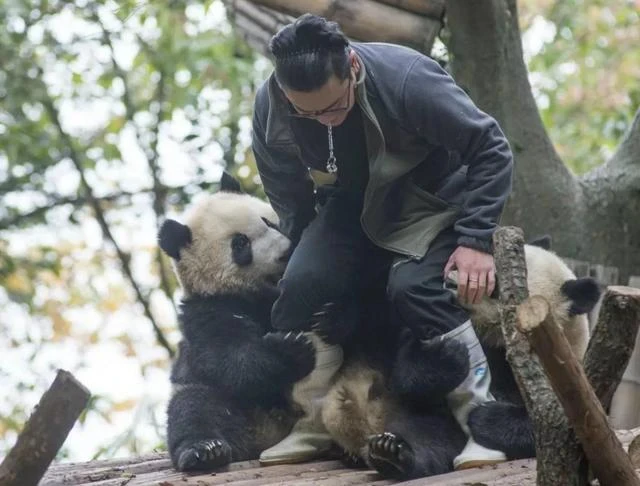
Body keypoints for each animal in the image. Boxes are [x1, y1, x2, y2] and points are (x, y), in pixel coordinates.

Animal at [159, 174, 316, 470]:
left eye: (269, 222)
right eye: (240, 244)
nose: (285, 253)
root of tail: (265, 438)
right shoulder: (209, 312)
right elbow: (232, 358)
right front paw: (290, 350)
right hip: (218, 399)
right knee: (194, 408)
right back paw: (204, 451)